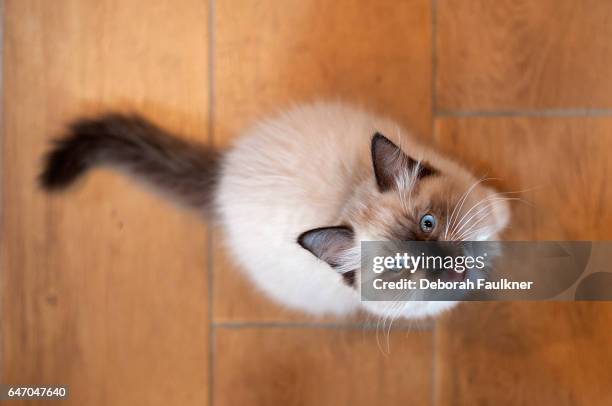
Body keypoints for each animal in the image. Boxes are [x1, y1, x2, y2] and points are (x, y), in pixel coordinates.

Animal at [40, 102, 510, 320]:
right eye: (395, 268)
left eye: (429, 223)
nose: (443, 268)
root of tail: (222, 175)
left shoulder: (476, 196)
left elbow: (495, 210)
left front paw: (503, 221)